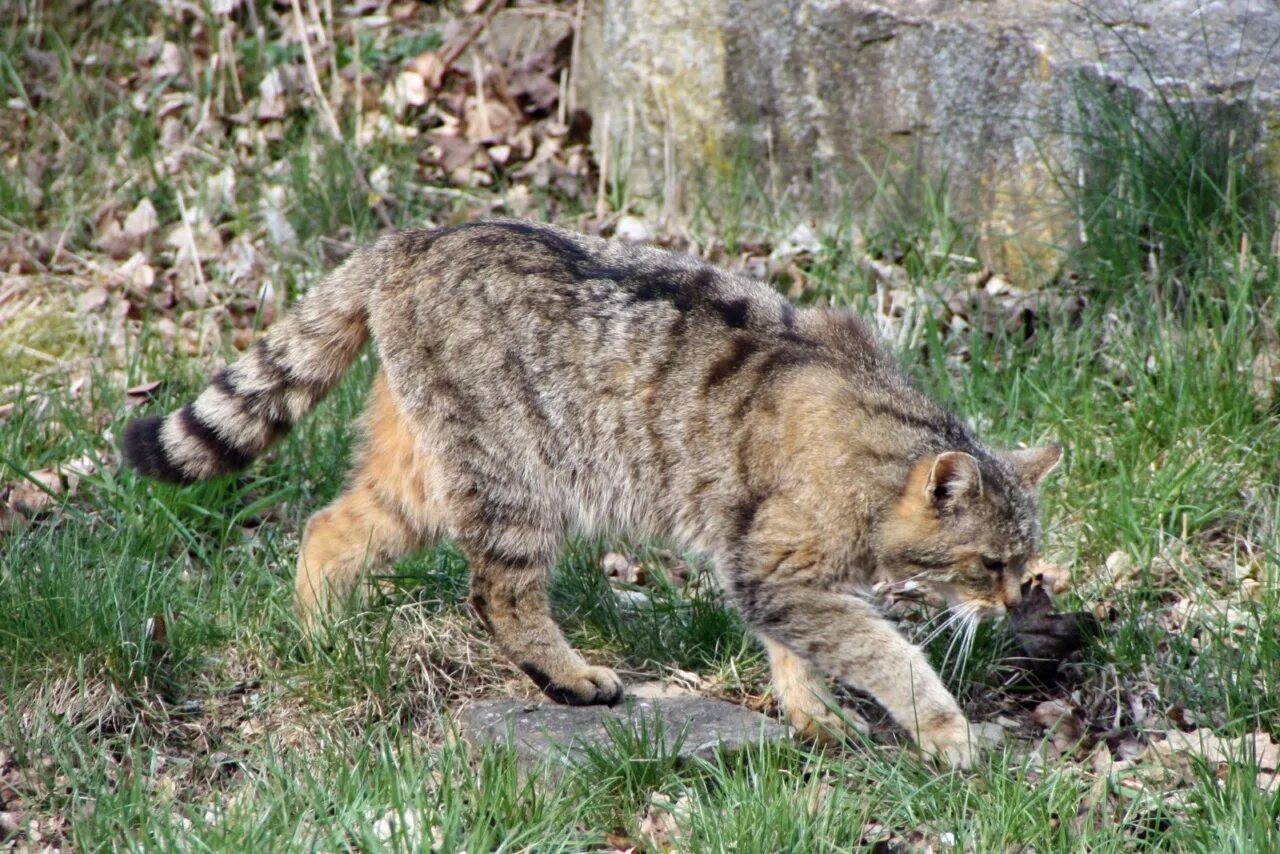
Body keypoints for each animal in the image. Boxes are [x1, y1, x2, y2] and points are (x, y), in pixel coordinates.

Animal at [122, 220, 1059, 768]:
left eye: (1026, 561)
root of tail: (418, 235)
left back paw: (322, 632)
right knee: (497, 594)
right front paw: (943, 728)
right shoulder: (781, 568)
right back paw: (569, 677)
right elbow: (881, 652)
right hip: (516, 477)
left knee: (329, 524)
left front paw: (814, 714)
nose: (1020, 600)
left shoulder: (776, 567)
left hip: (421, 475)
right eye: (989, 564)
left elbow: (799, 651)